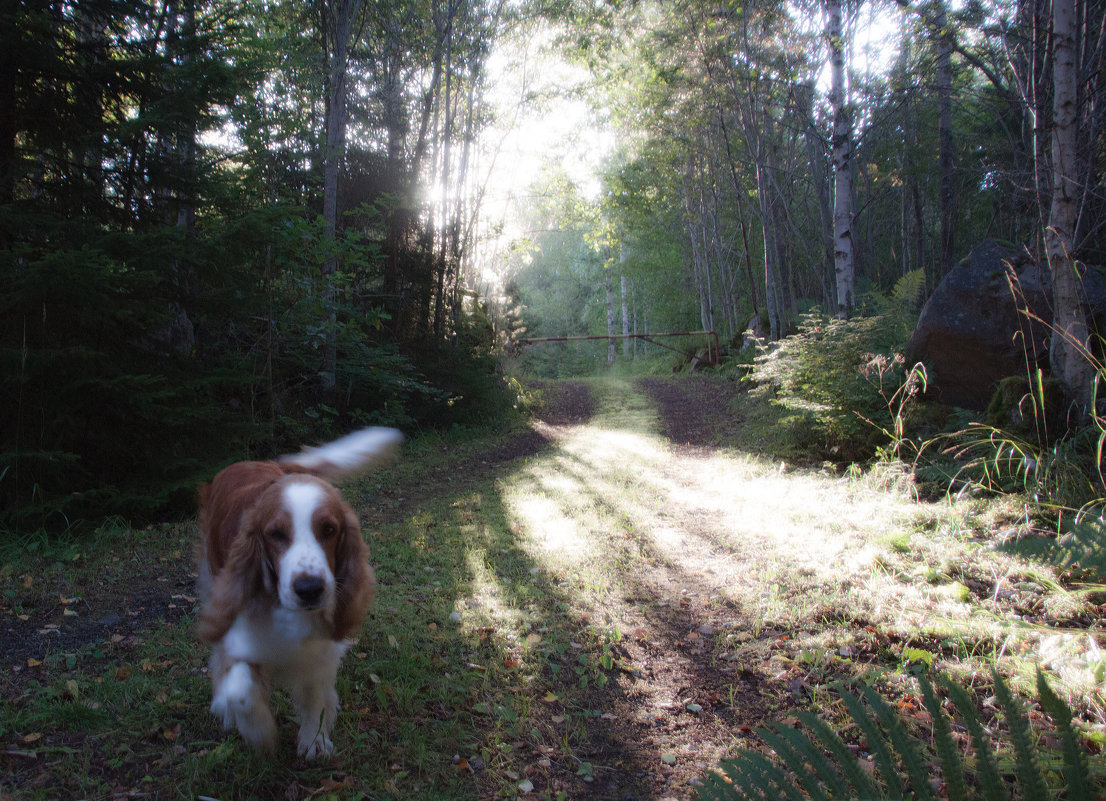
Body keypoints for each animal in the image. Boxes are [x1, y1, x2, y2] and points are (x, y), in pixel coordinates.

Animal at [197, 424, 402, 756]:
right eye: (276, 534)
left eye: (329, 529)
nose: (309, 589)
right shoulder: (242, 633)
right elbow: (239, 690)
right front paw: (260, 733)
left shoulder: (320, 648)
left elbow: (314, 696)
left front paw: (313, 740)